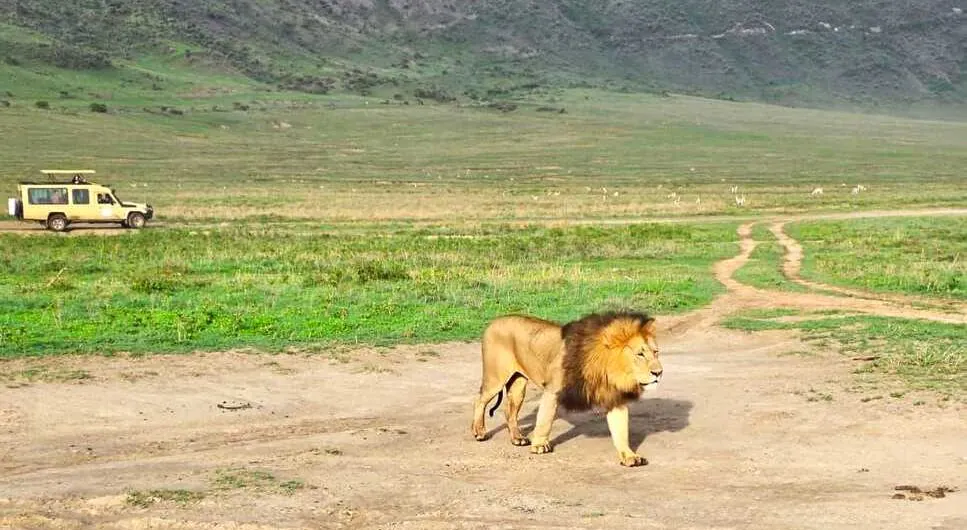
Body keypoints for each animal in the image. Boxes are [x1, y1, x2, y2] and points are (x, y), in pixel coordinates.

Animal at [470, 311, 663, 467]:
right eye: (640, 354)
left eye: (655, 352)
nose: (659, 372)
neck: (607, 370)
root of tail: (494, 321)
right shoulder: (552, 389)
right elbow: (545, 419)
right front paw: (539, 445)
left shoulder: (614, 398)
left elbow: (621, 430)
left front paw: (630, 456)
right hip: (495, 378)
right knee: (479, 400)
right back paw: (479, 432)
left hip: (518, 385)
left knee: (509, 409)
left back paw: (517, 438)